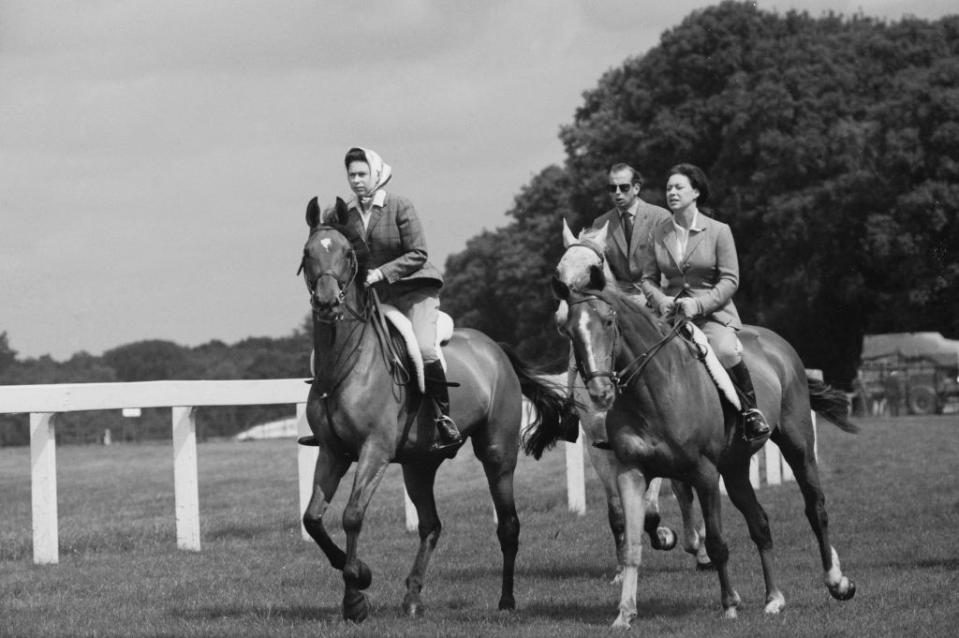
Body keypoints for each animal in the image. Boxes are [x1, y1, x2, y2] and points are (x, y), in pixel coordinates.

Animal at [296, 198, 572, 624]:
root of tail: (495, 349)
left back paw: (506, 600)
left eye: (346, 254)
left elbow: (352, 515)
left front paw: (356, 591)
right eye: (309, 253)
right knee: (431, 526)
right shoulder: (332, 451)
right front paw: (355, 576)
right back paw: (412, 596)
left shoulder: (374, 451)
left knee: (508, 525)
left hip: (497, 454)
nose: (327, 303)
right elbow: (312, 519)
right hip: (419, 464)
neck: (346, 359)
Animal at [532, 225, 864, 632]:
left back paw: (837, 581)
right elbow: (633, 543)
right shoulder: (628, 470)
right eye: (571, 332)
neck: (651, 389)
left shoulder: (703, 472)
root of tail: (777, 343)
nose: (599, 392)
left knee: (815, 507)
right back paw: (774, 599)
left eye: (608, 322)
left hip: (797, 444)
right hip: (735, 467)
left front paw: (730, 603)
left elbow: (717, 539)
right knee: (760, 522)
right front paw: (624, 613)